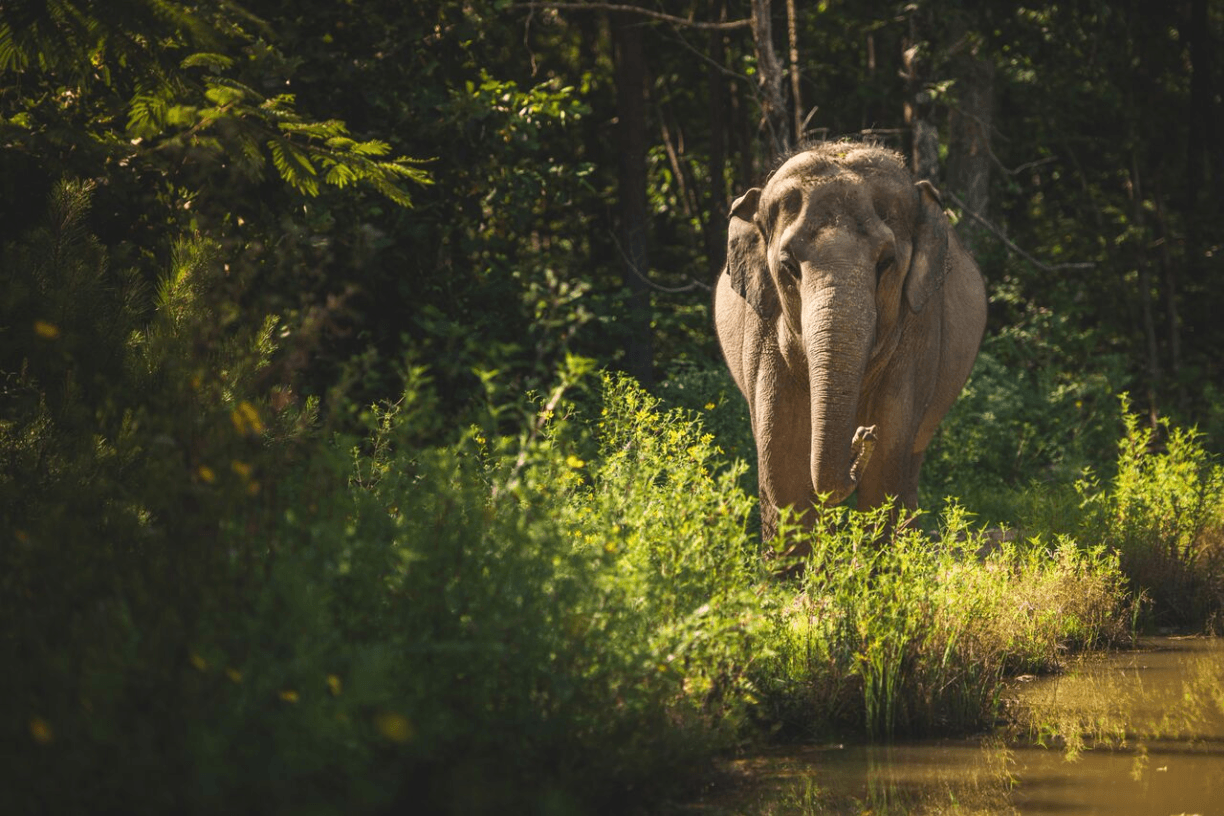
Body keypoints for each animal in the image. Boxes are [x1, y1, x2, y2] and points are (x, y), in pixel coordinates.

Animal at [714, 143, 984, 545]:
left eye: (886, 262)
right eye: (788, 265)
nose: (862, 433)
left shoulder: (919, 328)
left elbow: (888, 453)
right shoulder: (763, 331)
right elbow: (781, 454)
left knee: (909, 463)